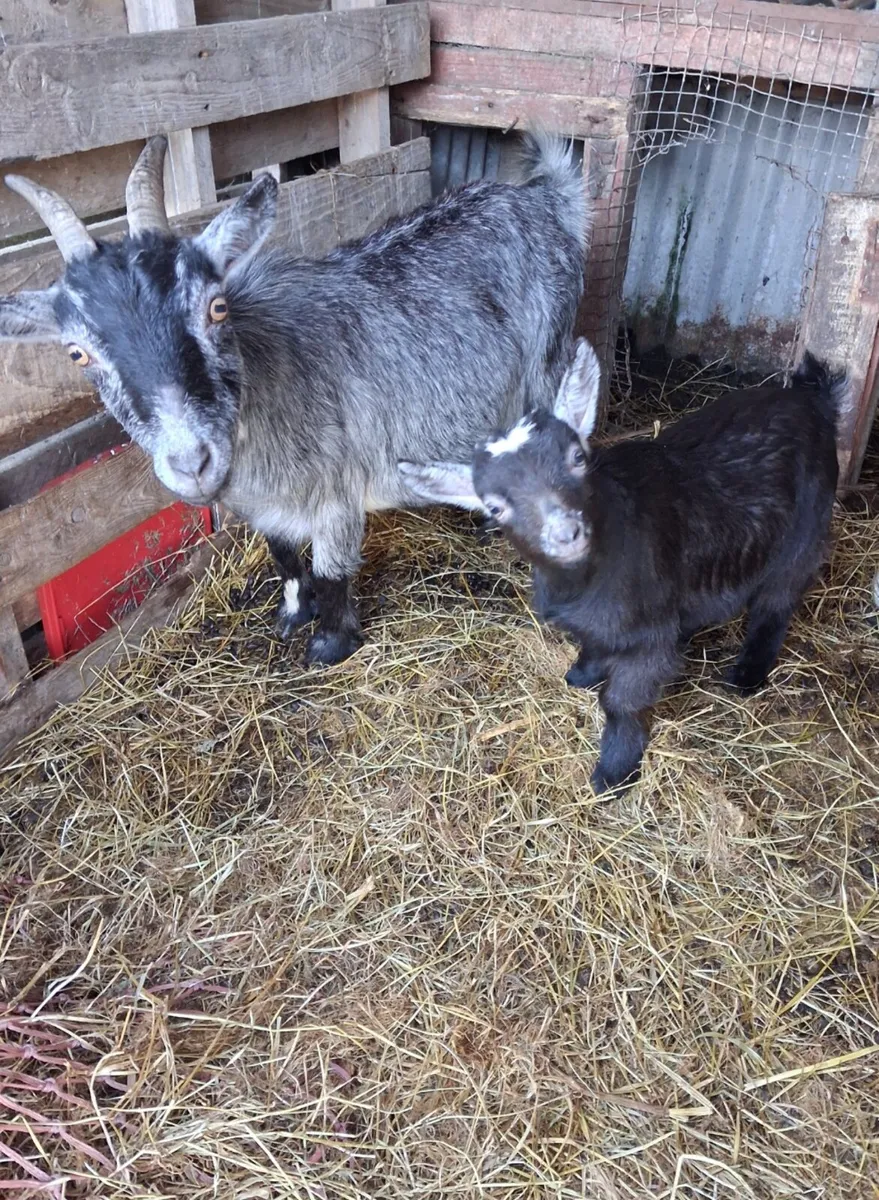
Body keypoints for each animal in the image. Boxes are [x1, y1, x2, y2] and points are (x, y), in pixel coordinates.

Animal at [0, 134, 588, 664]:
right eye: (77, 353)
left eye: (216, 307)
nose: (192, 462)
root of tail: (544, 198)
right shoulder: (265, 507)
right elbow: (282, 554)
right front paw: (291, 613)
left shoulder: (339, 489)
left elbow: (330, 572)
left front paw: (329, 644)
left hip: (550, 358)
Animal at [400, 340, 842, 794]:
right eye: (494, 506)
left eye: (578, 457)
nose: (566, 532)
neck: (584, 582)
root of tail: (813, 399)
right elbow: (592, 644)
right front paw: (581, 674)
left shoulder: (647, 638)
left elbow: (622, 702)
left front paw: (614, 770)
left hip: (806, 527)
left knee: (778, 601)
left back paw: (747, 674)